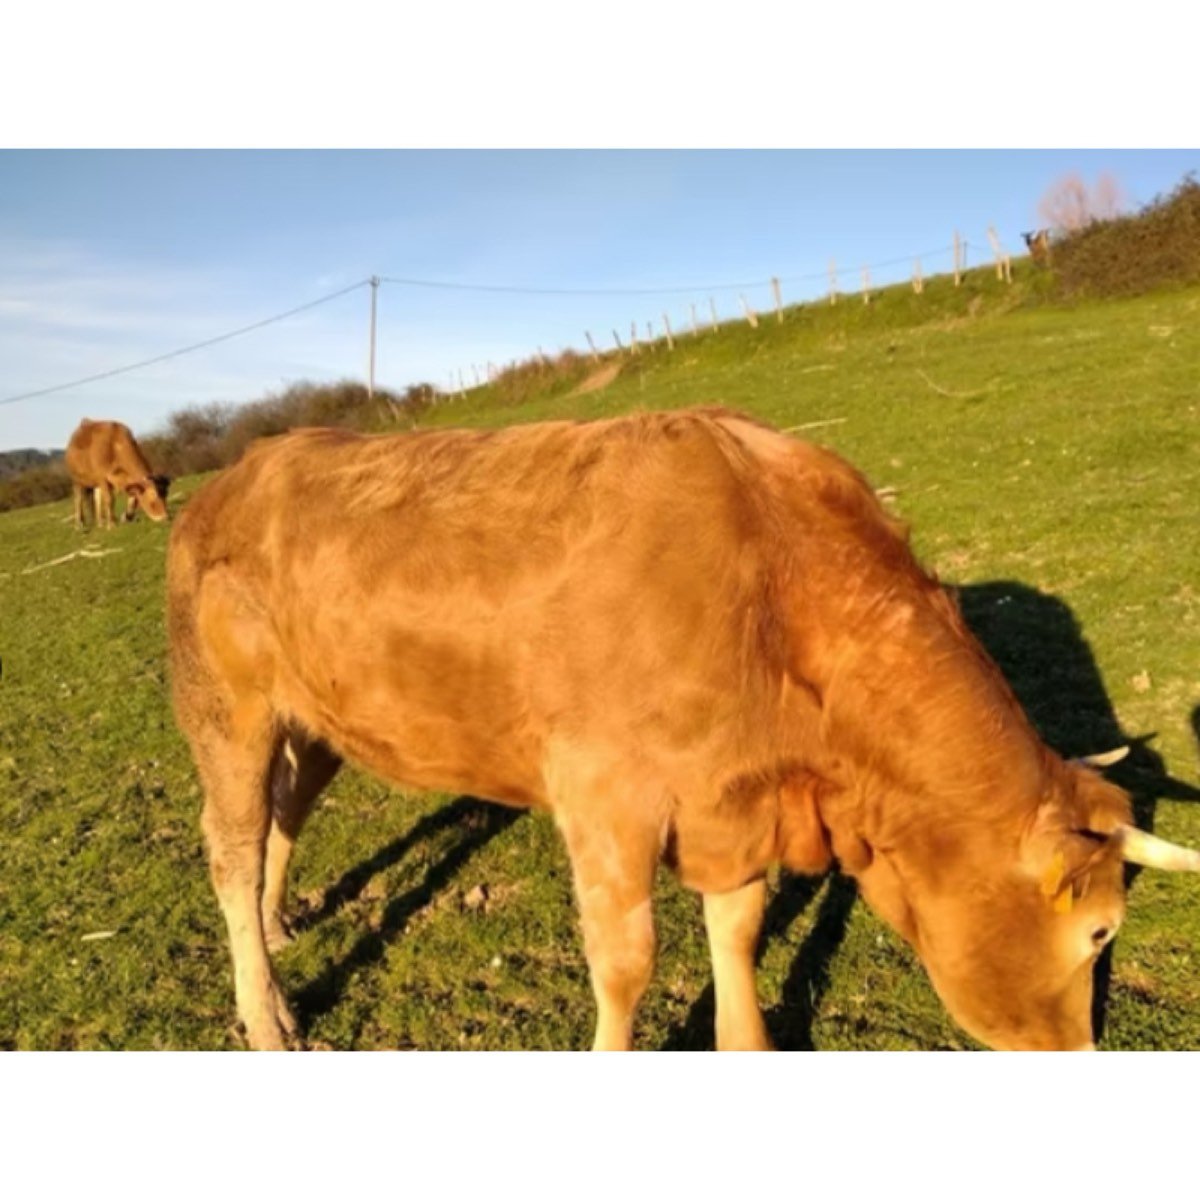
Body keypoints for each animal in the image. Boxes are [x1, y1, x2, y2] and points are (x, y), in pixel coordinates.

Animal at [166, 408, 1200, 1051]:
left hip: (315, 721)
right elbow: (627, 964)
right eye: (1100, 932)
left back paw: (280, 924)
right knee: (231, 847)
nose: (1080, 1052)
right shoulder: (605, 798)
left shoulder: (729, 798)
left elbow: (737, 933)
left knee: (282, 819)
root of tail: (234, 475)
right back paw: (267, 1016)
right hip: (225, 711)